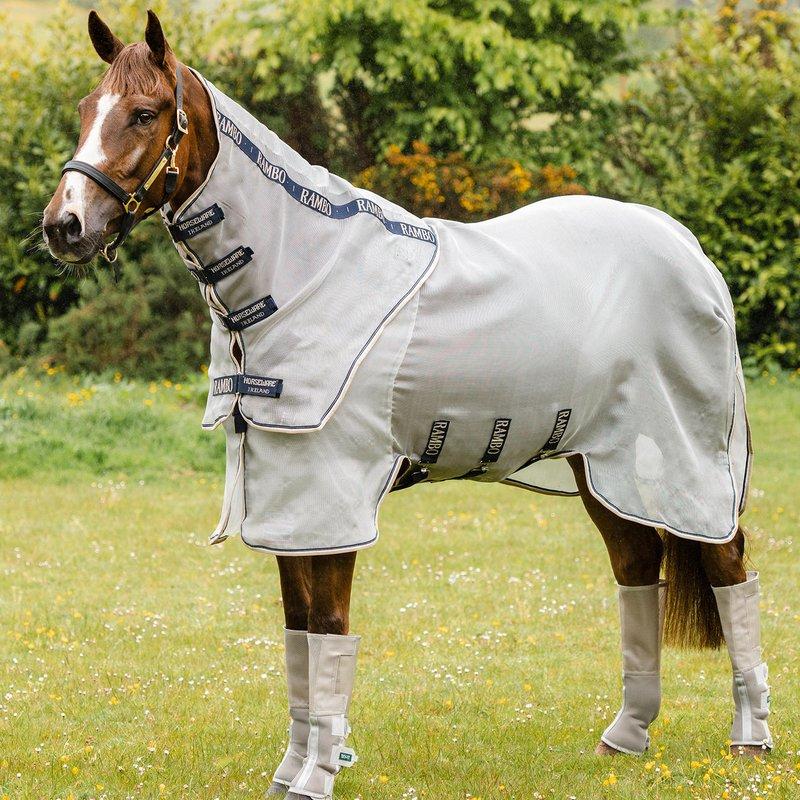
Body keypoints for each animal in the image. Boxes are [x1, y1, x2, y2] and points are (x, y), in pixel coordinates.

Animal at [43, 11, 772, 799]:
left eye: (144, 113)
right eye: (85, 109)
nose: (65, 225)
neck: (301, 273)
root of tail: (688, 248)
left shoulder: (330, 497)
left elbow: (329, 630)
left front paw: (315, 777)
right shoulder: (289, 501)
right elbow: (298, 634)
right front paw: (293, 771)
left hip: (686, 458)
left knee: (730, 569)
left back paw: (749, 741)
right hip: (601, 466)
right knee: (638, 569)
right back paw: (626, 736)